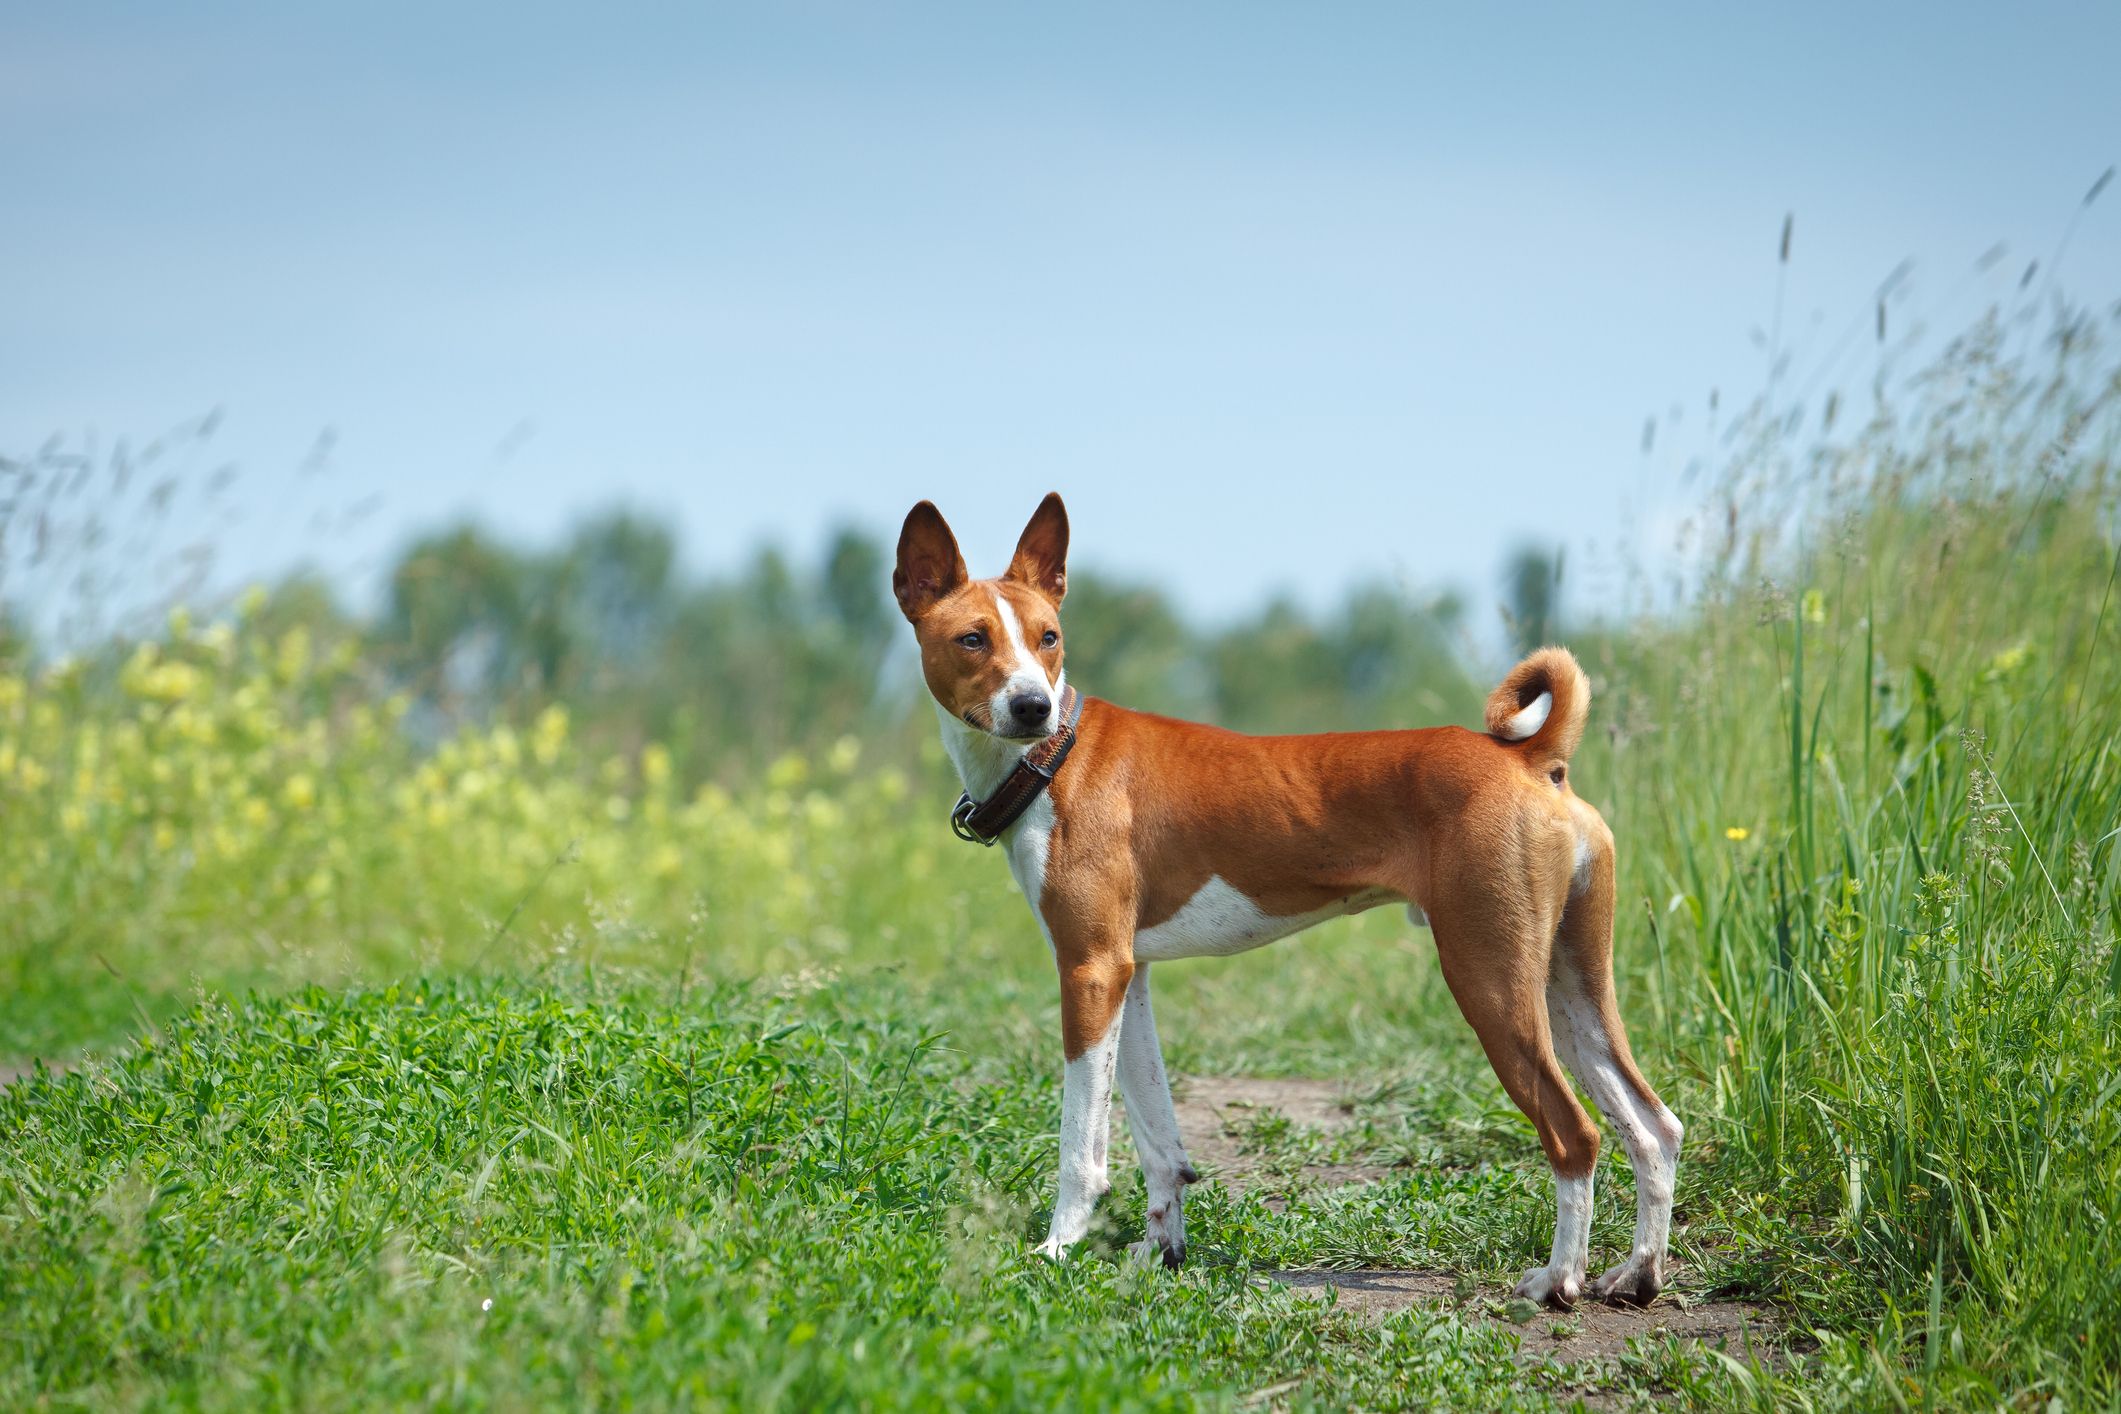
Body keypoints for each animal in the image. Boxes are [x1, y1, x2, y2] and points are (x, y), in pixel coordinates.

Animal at [895, 491, 1688, 1314]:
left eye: (1048, 638)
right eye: (972, 639)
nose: (1031, 705)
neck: (1055, 760)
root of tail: (1531, 758)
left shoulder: (1088, 970)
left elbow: (1082, 1146)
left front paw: (1057, 1249)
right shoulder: (1127, 975)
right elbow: (1157, 1138)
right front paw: (1159, 1253)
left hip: (1490, 980)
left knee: (1576, 1134)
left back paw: (1557, 1280)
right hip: (1571, 985)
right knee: (1653, 1127)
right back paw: (1636, 1274)